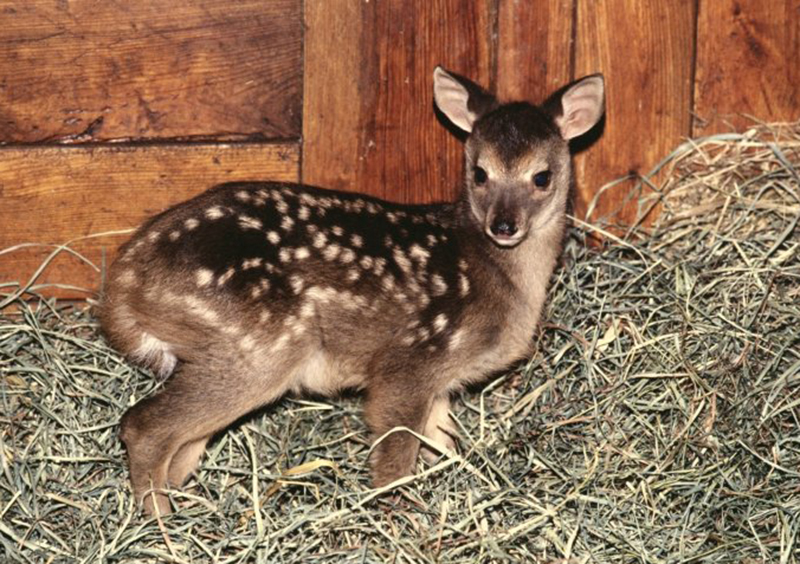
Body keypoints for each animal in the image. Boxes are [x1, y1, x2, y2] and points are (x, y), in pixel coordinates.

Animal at [101, 67, 600, 516]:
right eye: (479, 173)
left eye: (542, 177)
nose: (504, 225)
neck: (497, 277)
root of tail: (125, 280)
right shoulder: (410, 359)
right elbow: (395, 452)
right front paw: (396, 514)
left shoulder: (440, 382)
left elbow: (443, 442)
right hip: (255, 348)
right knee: (145, 426)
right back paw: (161, 524)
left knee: (180, 443)